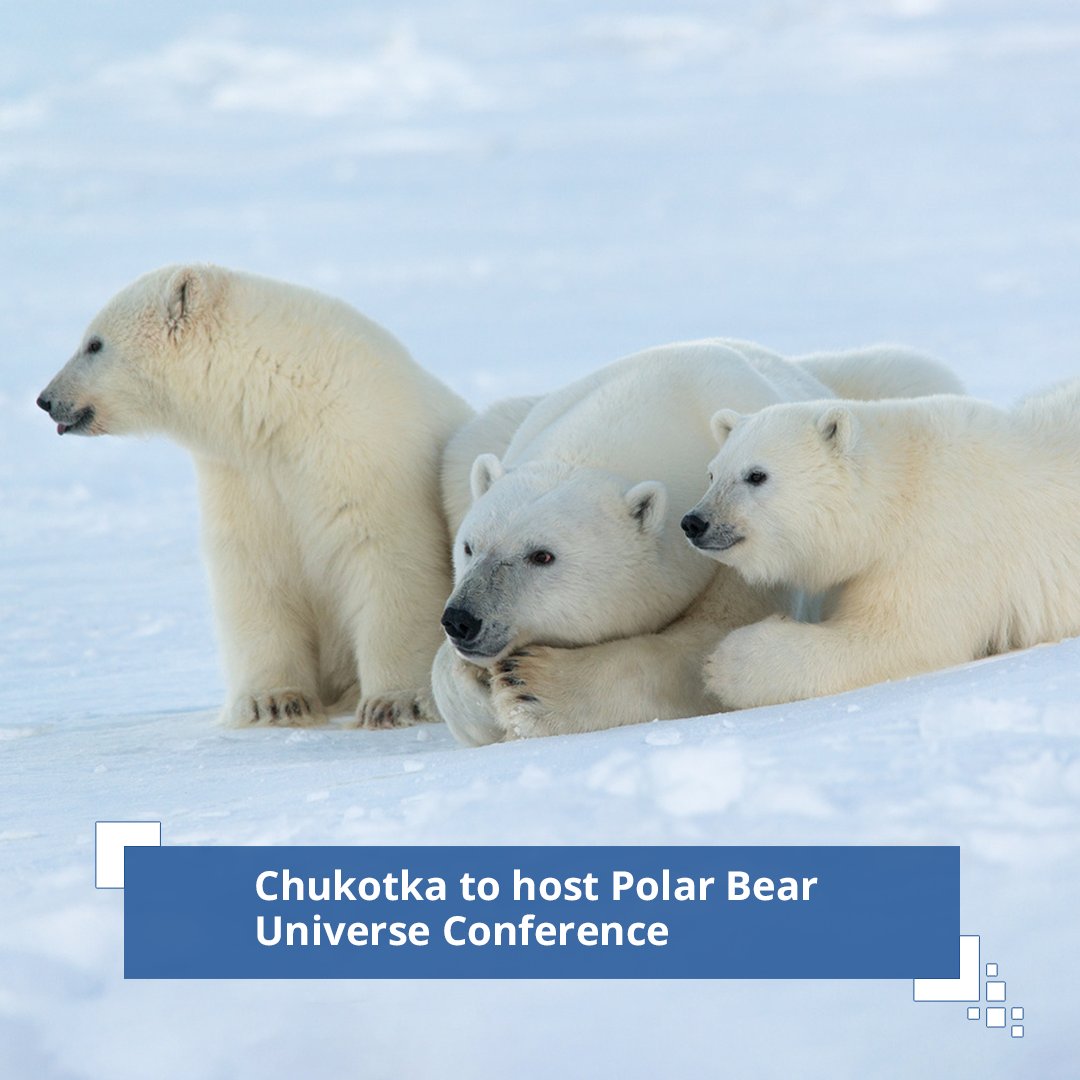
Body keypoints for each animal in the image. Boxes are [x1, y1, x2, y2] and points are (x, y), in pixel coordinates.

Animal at [37, 264, 473, 729]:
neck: (284, 404)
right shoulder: (245, 475)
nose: (46, 400)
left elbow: (390, 561)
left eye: (94, 343)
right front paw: (275, 702)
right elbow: (253, 570)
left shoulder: (365, 455)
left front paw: (395, 702)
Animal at [433, 338, 963, 744]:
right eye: (470, 546)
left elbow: (703, 649)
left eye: (542, 555)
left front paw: (532, 685)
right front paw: (476, 689)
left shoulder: (738, 550)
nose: (462, 619)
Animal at [683, 380, 1080, 709]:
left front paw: (725, 662)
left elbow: (902, 637)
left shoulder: (940, 541)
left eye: (756, 475)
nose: (694, 522)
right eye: (712, 474)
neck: (898, 492)